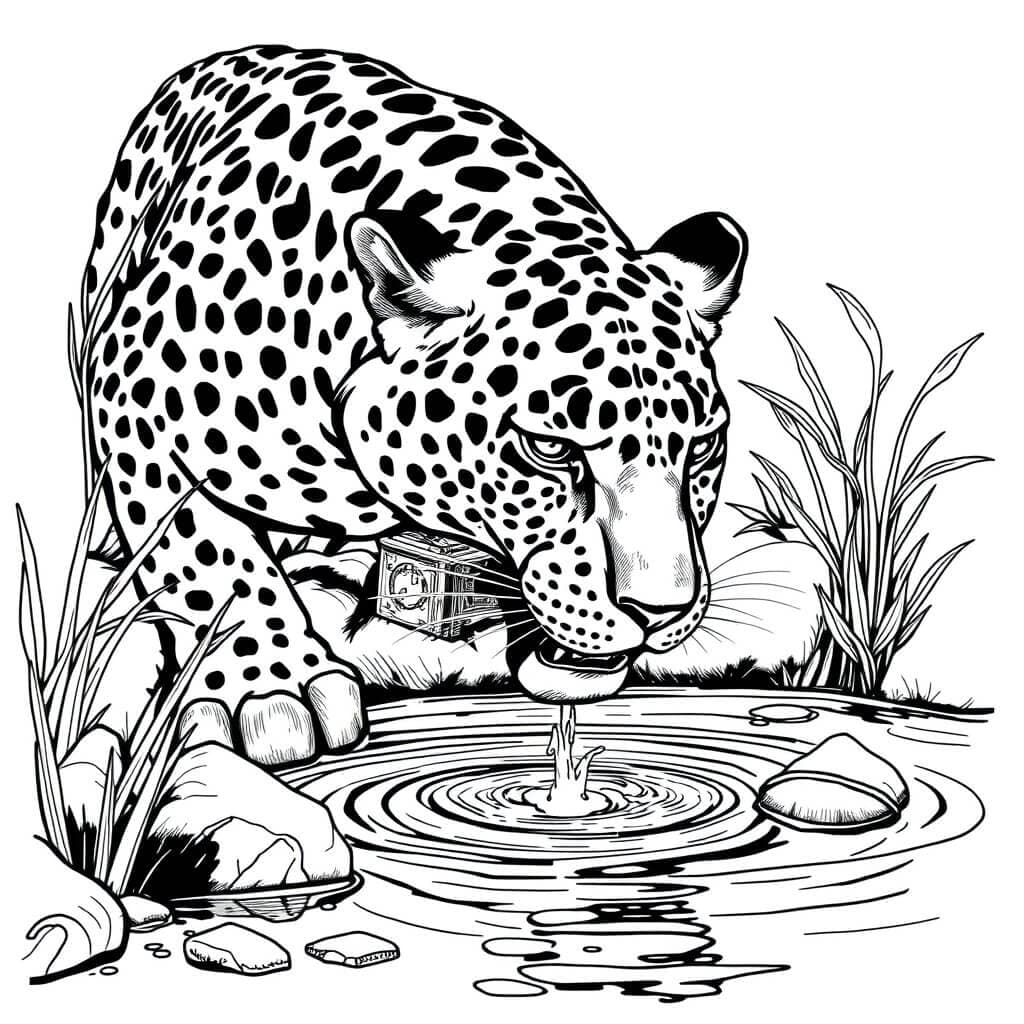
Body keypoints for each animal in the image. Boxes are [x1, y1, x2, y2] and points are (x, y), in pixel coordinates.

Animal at [83, 44, 747, 767]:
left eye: (702, 448)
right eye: (548, 448)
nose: (660, 613)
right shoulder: (136, 399)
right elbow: (214, 563)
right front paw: (271, 689)